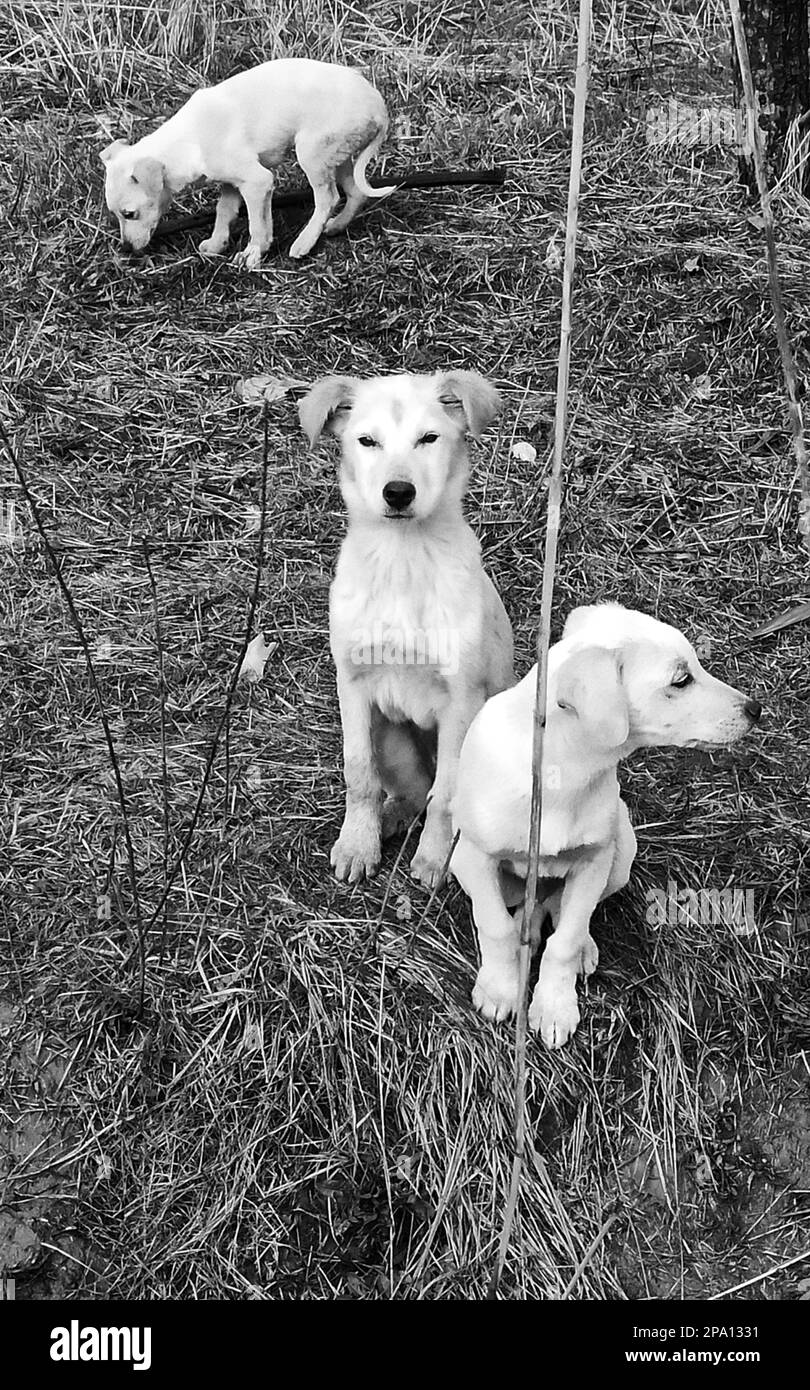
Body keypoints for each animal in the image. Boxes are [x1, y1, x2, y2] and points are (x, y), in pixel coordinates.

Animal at [101, 56, 397, 264]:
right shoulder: (232, 184)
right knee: (356, 193)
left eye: (129, 214)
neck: (188, 141)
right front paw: (217, 244)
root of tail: (378, 106)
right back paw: (335, 226)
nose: (126, 249)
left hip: (312, 154)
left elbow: (257, 224)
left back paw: (304, 242)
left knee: (329, 198)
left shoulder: (258, 182)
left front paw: (253, 253)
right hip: (337, 156)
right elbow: (224, 212)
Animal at [297, 369, 514, 889]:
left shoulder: (461, 699)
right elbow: (359, 774)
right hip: (390, 735)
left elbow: (448, 793)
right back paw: (391, 816)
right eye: (367, 441)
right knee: (410, 788)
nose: (398, 492)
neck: (403, 556)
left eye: (428, 438)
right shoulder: (353, 684)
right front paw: (358, 844)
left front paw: (435, 858)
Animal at [452, 603, 761, 1045]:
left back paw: (580, 947)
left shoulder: (594, 861)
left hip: (622, 849)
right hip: (476, 870)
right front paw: (499, 989)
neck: (559, 768)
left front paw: (554, 1006)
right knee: (524, 913)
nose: (756, 709)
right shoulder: (475, 858)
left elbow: (564, 941)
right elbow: (495, 927)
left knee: (561, 912)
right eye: (681, 680)